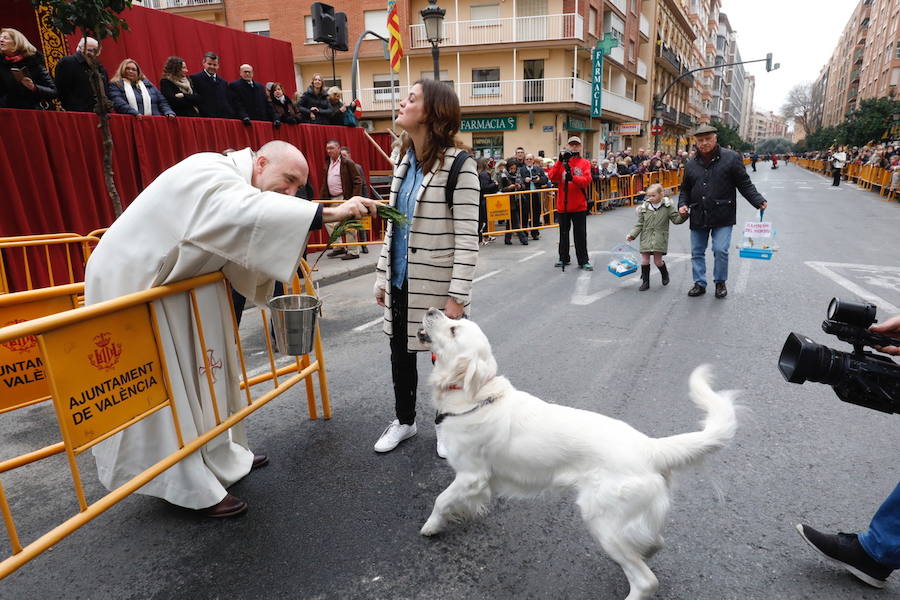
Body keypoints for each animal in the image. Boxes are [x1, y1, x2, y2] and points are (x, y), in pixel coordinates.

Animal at [418, 310, 736, 600]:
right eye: (455, 321)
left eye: (454, 329)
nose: (432, 309)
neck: (475, 397)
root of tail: (651, 447)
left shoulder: (471, 475)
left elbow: (441, 499)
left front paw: (431, 526)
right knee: (655, 543)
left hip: (604, 521)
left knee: (646, 581)